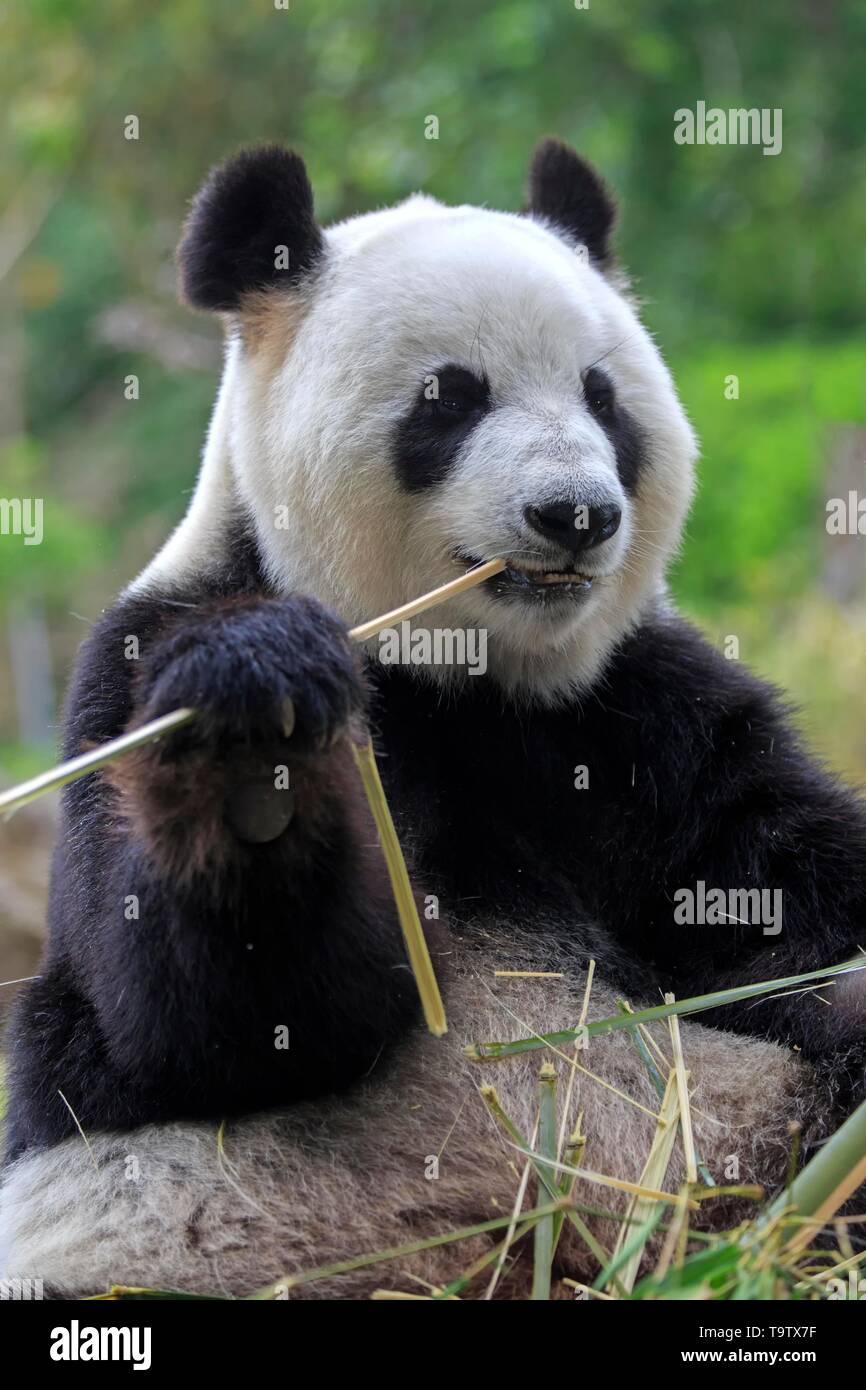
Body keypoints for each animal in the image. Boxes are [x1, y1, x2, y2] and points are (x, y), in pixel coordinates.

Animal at [2, 139, 865, 1300]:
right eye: (449, 397)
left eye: (603, 397)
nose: (577, 514)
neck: (458, 676)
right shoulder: (135, 665)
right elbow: (199, 1029)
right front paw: (256, 737)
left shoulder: (638, 710)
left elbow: (781, 894)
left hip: (747, 1107)